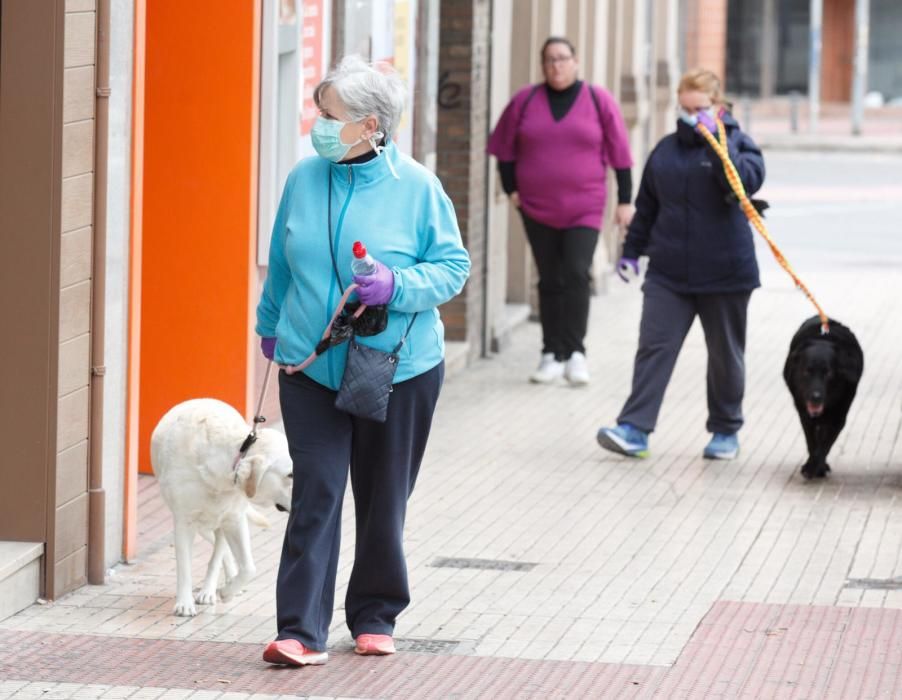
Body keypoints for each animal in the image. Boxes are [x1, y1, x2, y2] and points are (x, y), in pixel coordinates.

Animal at [151, 396, 294, 616]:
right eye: (291, 474)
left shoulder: (234, 519)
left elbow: (249, 568)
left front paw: (227, 592)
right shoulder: (184, 521)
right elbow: (184, 566)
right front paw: (184, 603)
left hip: (221, 520)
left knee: (219, 552)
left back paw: (213, 589)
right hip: (201, 524)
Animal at [784, 318, 868, 478]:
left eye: (828, 373)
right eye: (807, 371)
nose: (815, 397)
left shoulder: (838, 417)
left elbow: (825, 444)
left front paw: (814, 467)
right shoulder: (805, 415)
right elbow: (811, 442)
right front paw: (812, 466)